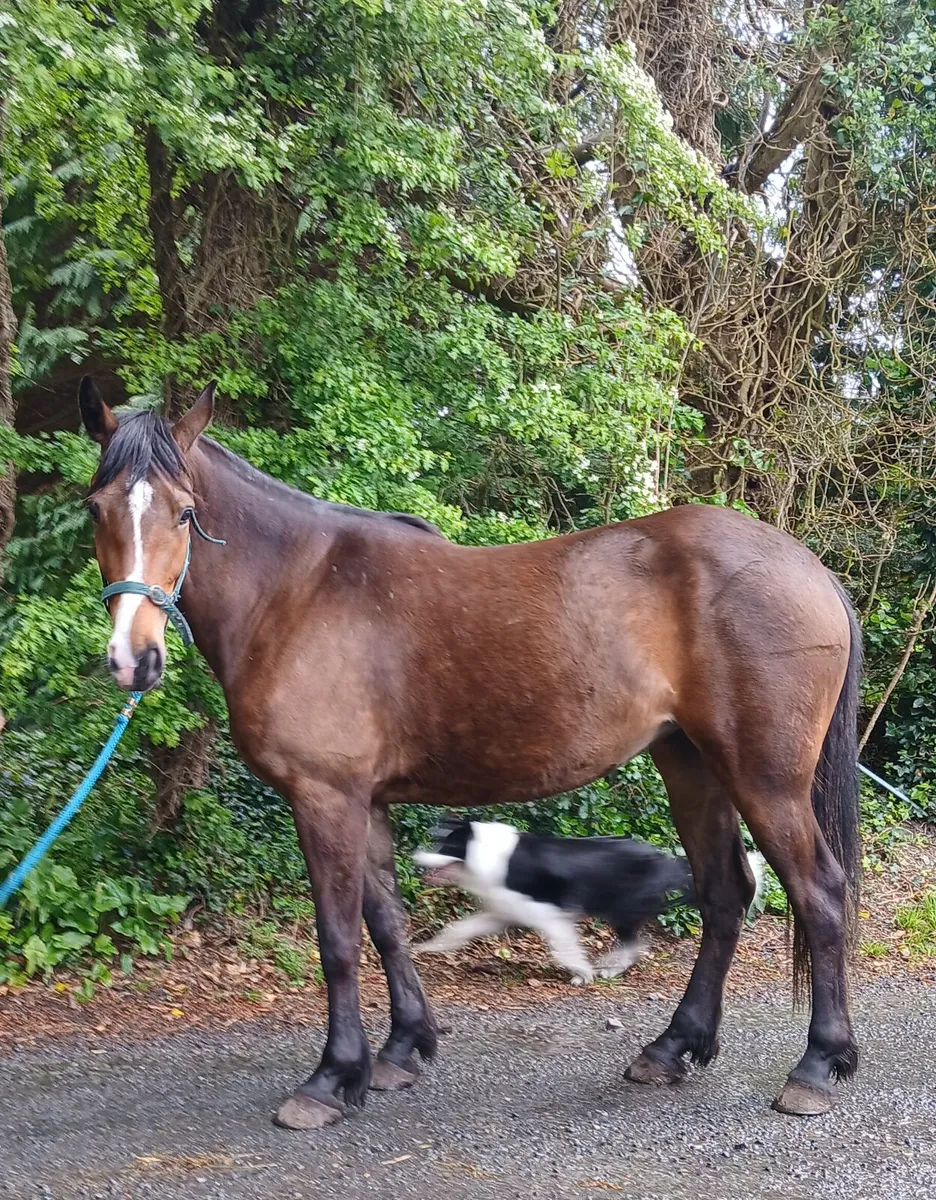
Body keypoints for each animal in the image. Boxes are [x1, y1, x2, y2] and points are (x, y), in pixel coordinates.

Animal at [78, 376, 861, 1129]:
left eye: (184, 512)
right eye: (95, 509)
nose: (132, 660)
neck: (297, 591)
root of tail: (811, 568)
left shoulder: (324, 797)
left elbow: (337, 940)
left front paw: (331, 1079)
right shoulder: (366, 802)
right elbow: (386, 924)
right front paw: (400, 1050)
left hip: (765, 779)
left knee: (819, 894)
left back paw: (816, 1067)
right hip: (692, 766)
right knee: (725, 893)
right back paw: (672, 1048)